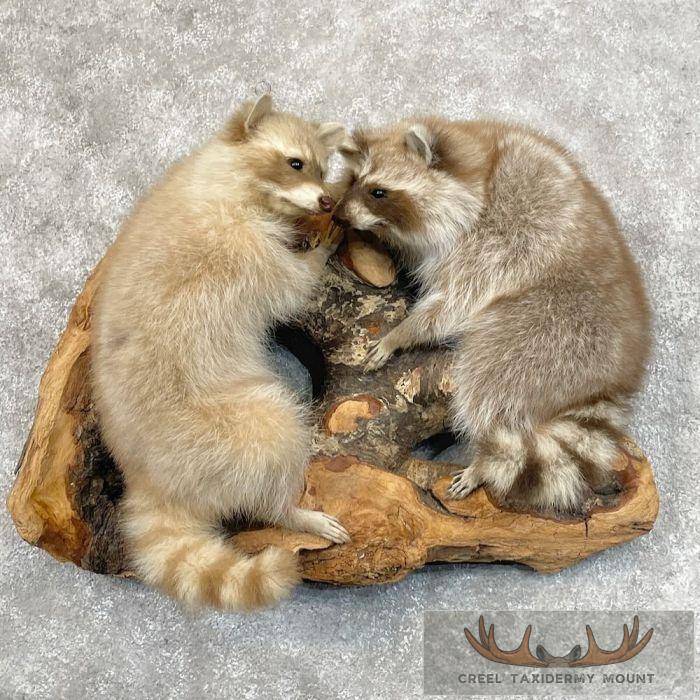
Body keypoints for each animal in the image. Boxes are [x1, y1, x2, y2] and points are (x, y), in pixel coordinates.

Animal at [92, 95, 349, 611]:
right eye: (295, 163)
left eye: (322, 166)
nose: (326, 201)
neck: (224, 175)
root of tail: (148, 478)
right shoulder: (243, 247)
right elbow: (291, 286)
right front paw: (318, 254)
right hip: (222, 433)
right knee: (275, 434)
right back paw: (290, 510)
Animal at [334, 117, 651, 515]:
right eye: (354, 179)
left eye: (379, 192)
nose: (338, 215)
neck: (478, 174)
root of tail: (615, 377)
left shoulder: (494, 248)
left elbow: (453, 307)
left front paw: (403, 333)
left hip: (549, 327)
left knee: (485, 380)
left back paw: (485, 461)